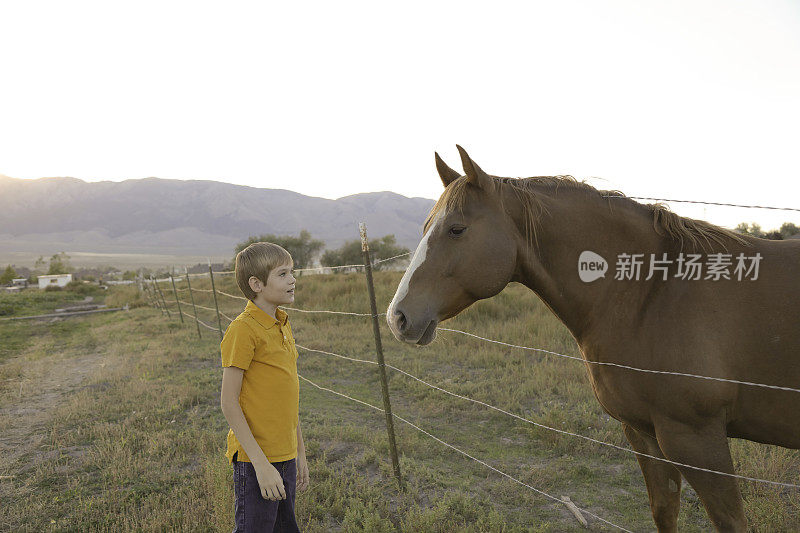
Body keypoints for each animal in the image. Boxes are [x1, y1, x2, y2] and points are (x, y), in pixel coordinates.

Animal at [384, 147, 796, 532]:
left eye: (456, 229)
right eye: (426, 226)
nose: (397, 317)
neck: (652, 292)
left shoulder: (697, 439)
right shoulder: (645, 433)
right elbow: (664, 512)